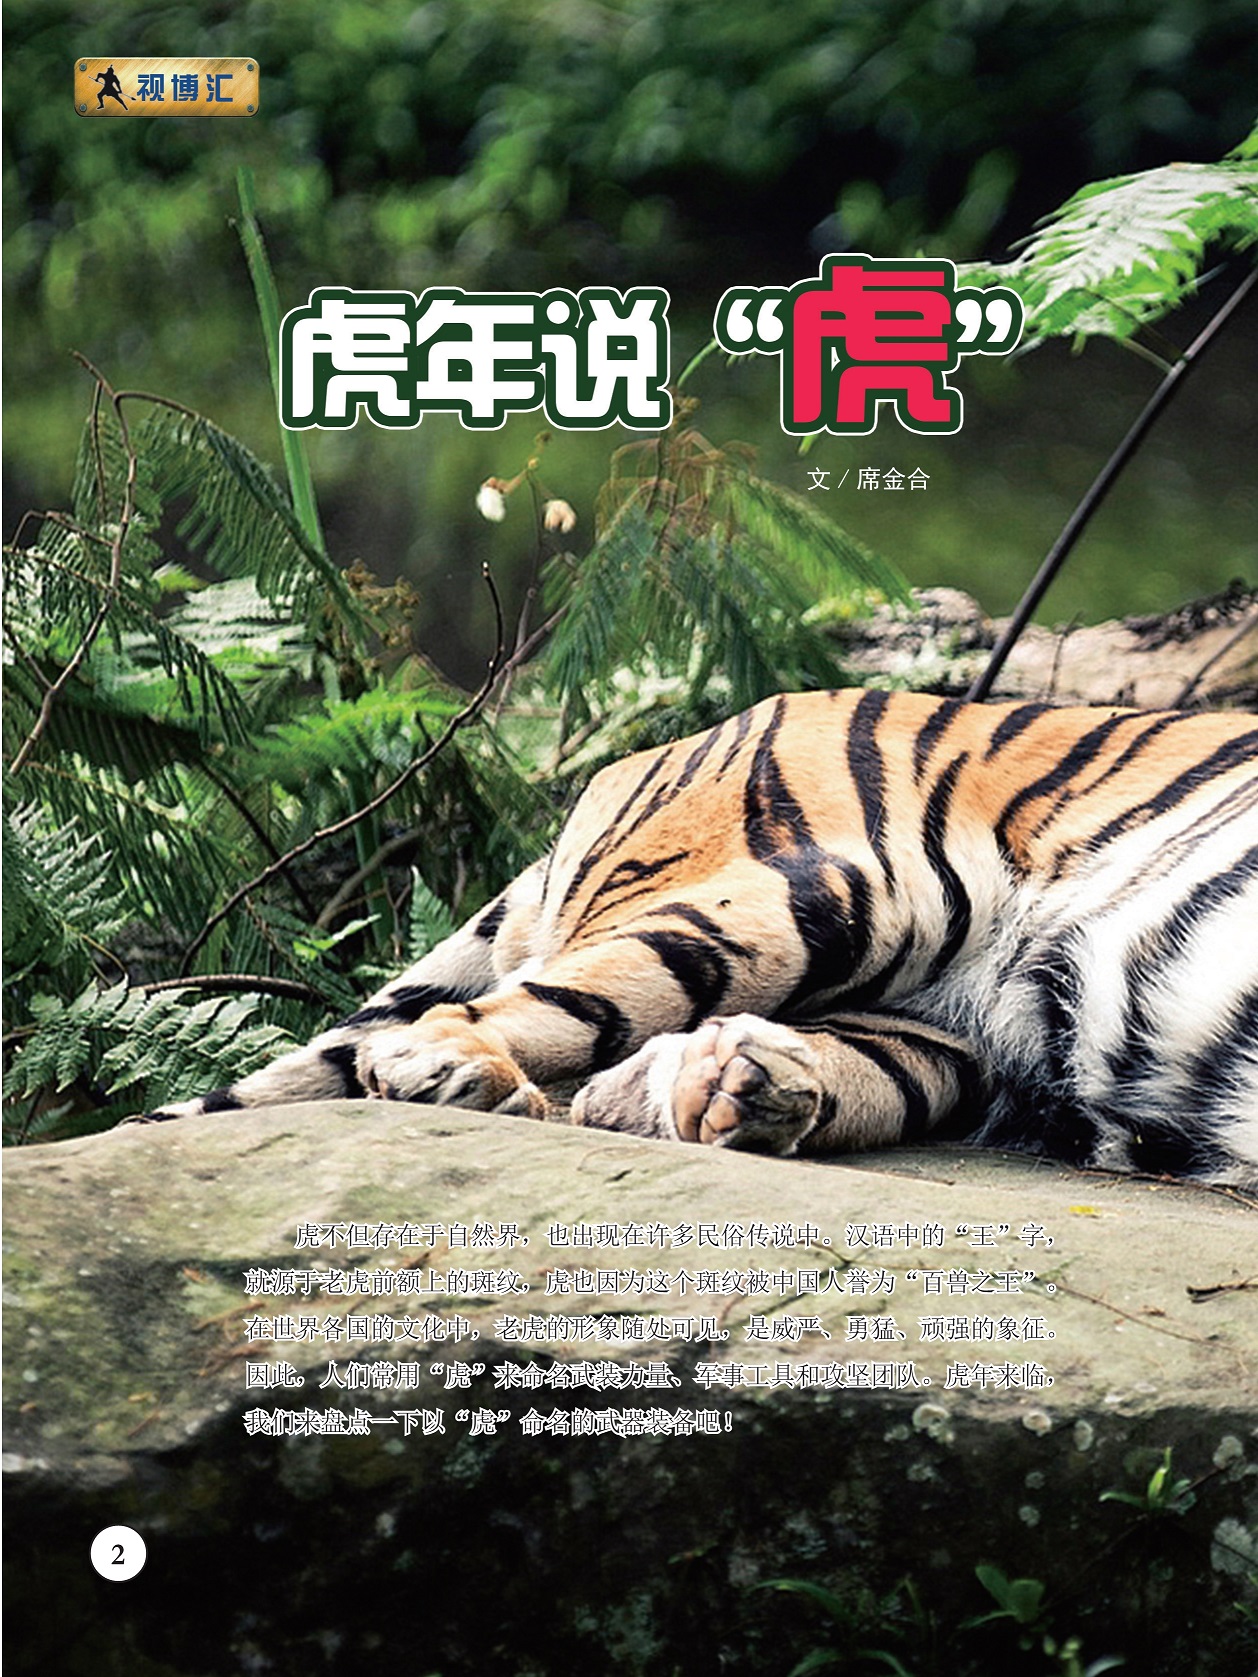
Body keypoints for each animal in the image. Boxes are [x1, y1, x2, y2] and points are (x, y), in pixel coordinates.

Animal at [140, 688, 1258, 1187]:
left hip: (934, 1042)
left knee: (623, 1085)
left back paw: (744, 1086)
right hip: (818, 893)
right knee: (487, 1017)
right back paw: (459, 1070)